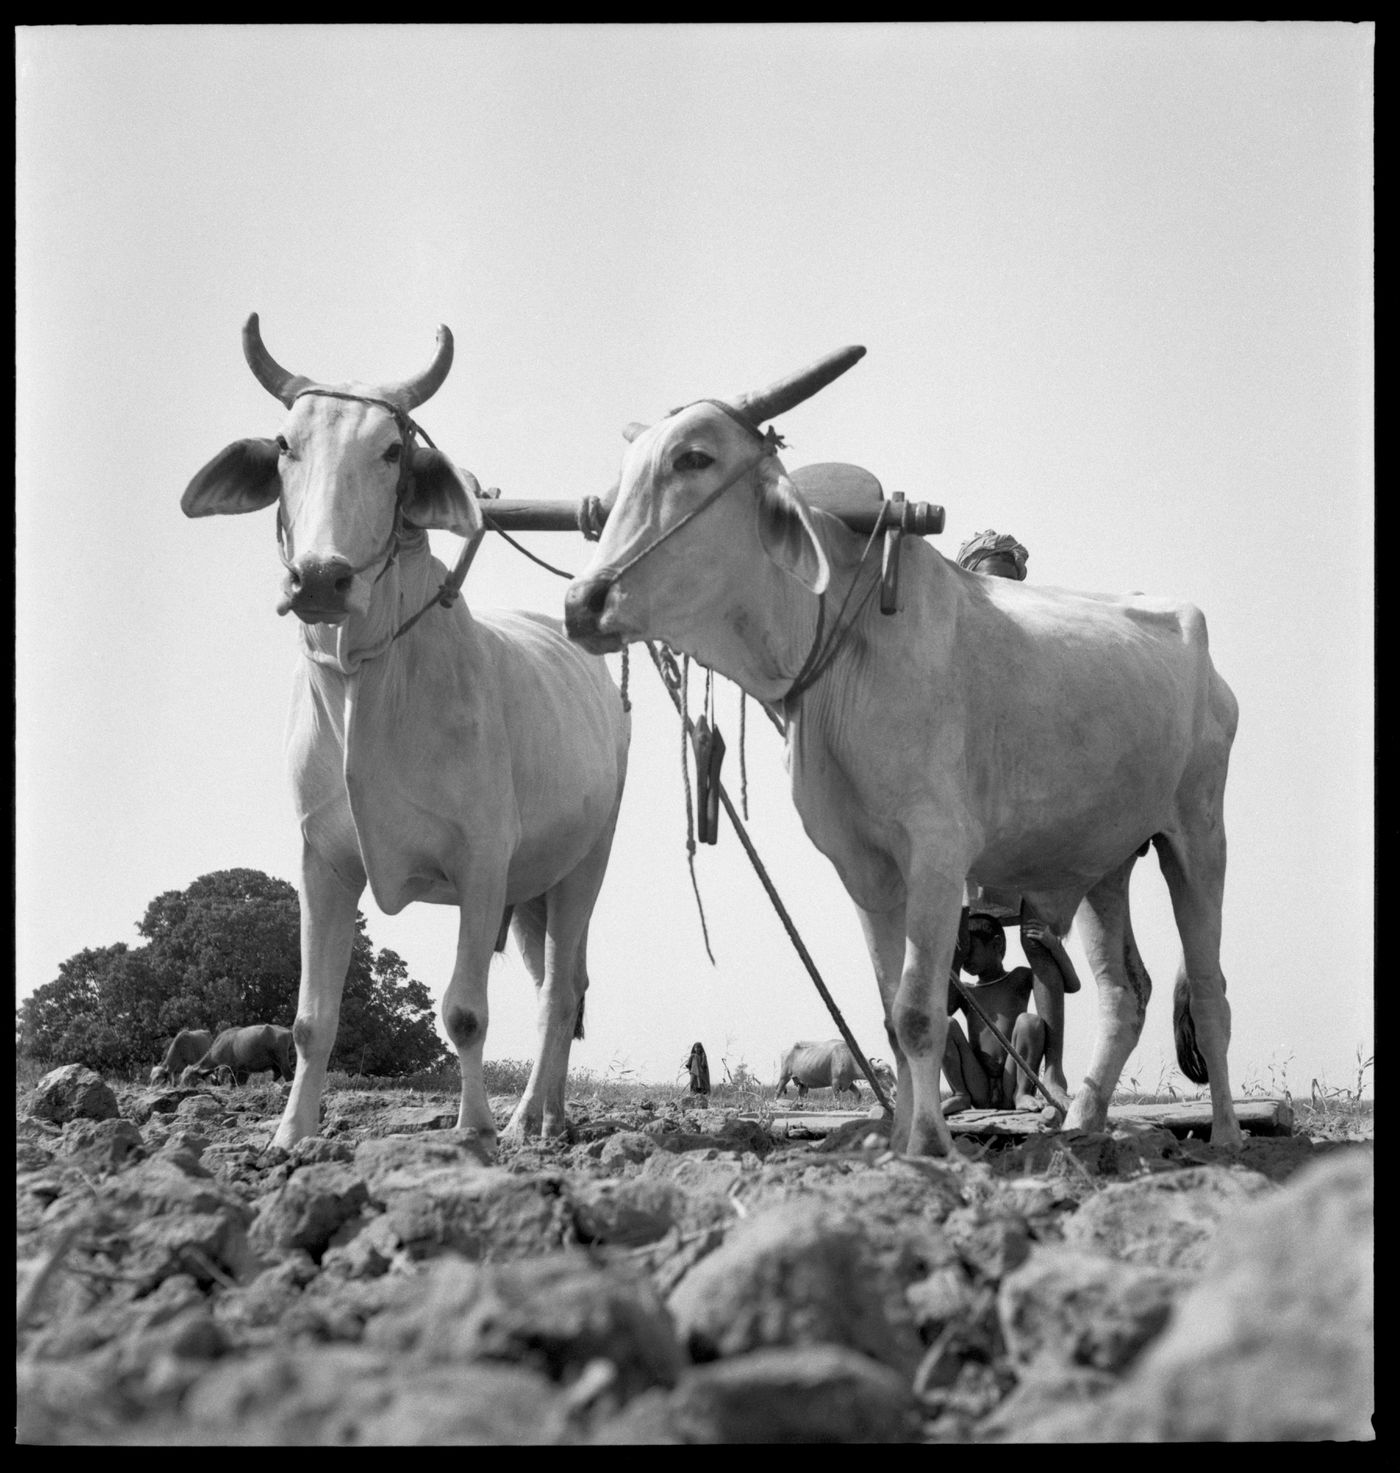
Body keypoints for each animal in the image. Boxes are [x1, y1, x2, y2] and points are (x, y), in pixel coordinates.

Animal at [565, 347, 1243, 1160]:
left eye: (694, 457)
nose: (583, 601)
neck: (840, 645)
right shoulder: (864, 868)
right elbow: (893, 1014)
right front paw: (900, 1139)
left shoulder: (937, 854)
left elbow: (920, 1009)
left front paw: (928, 1145)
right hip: (1104, 861)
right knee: (1124, 993)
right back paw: (1083, 1124)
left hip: (1197, 834)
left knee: (1210, 990)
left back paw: (1226, 1133)